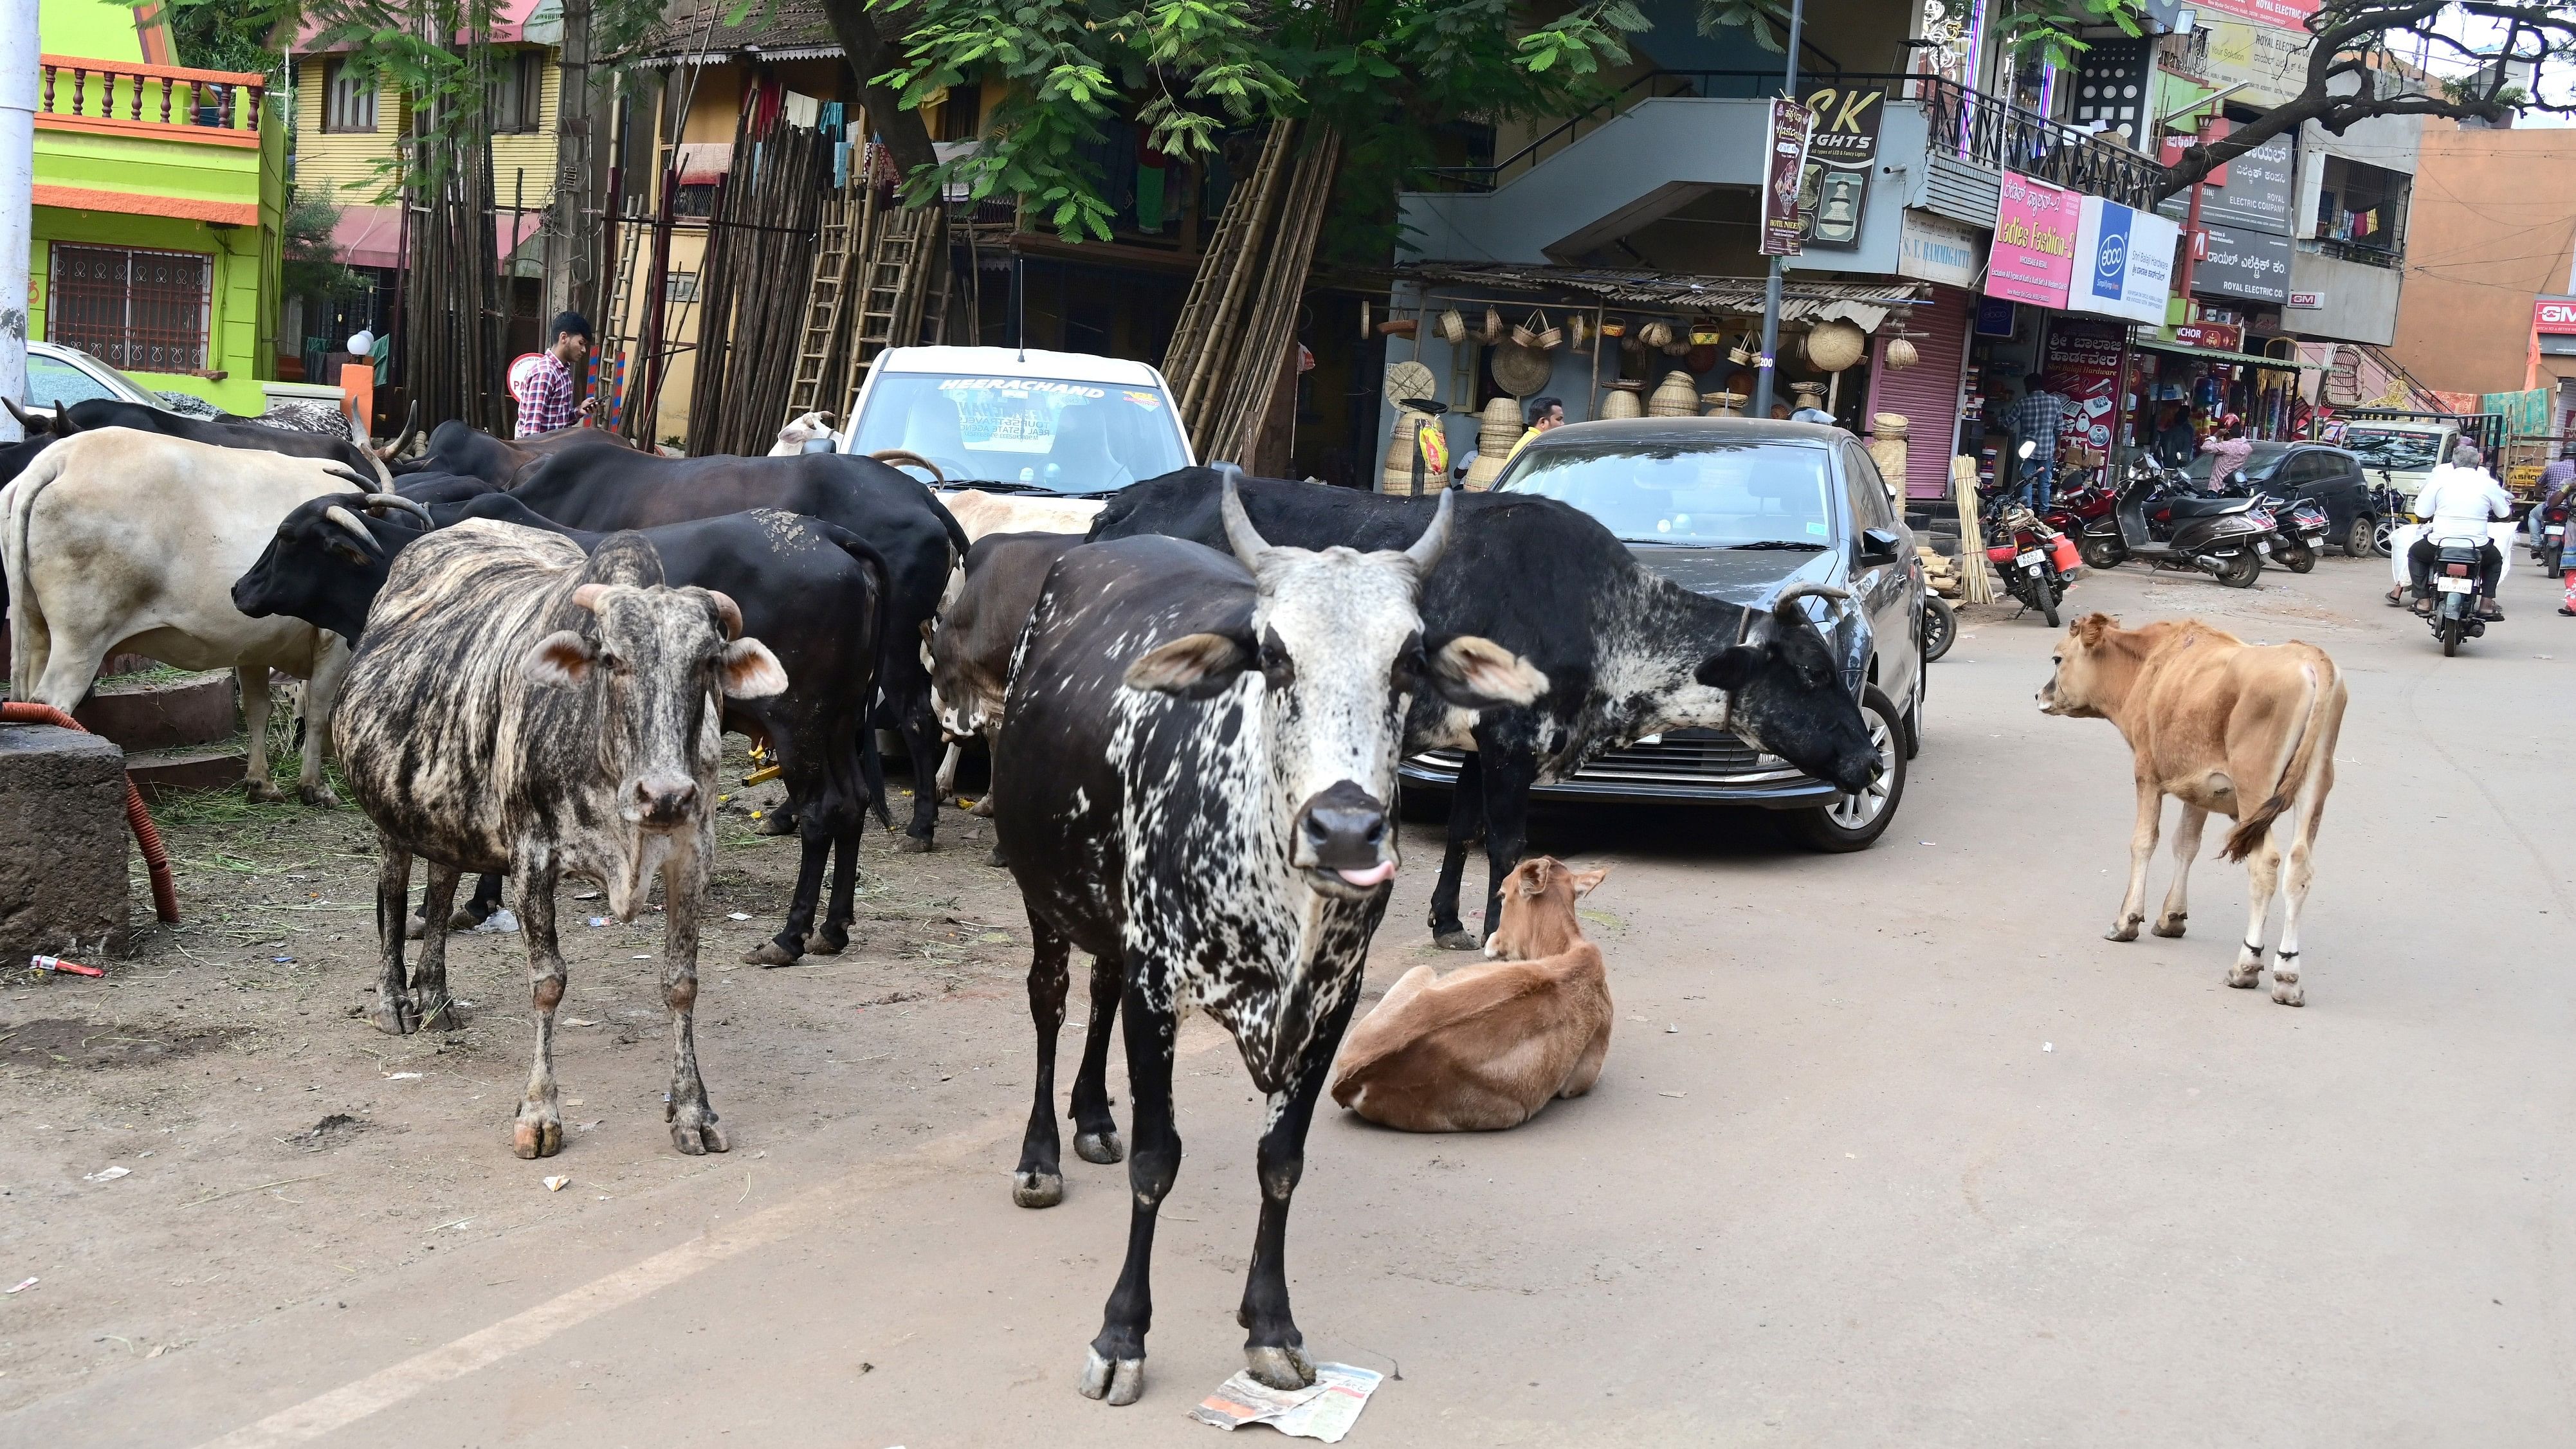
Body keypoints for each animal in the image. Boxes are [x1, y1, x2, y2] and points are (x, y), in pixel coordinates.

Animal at [0, 427, 365, 803]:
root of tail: (59, 456)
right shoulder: (336, 640)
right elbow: (320, 710)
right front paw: (315, 787)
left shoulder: (253, 646)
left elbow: (258, 709)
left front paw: (261, 783)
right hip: (80, 637)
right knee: (53, 701)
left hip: (35, 628)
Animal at [994, 484, 1535, 1410]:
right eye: (1275, 656)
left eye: (1408, 661)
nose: (1346, 828)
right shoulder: (1158, 979)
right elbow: (1157, 1161)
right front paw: (1122, 1335)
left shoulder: (1332, 999)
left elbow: (1282, 1161)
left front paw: (1272, 1328)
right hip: (1045, 894)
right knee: (1051, 999)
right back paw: (1042, 1156)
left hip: (1111, 913)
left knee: (1096, 991)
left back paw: (1093, 1115)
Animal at [2040, 612, 2349, 1008]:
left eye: (2057, 658)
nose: (2040, 695)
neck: (2150, 665)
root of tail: (2311, 657)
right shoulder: (2200, 788)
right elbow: (2185, 844)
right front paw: (2172, 917)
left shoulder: (2146, 772)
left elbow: (2144, 842)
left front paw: (2127, 920)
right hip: (2314, 786)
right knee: (2299, 869)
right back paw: (2287, 975)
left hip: (2255, 788)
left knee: (2265, 865)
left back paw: (2247, 965)